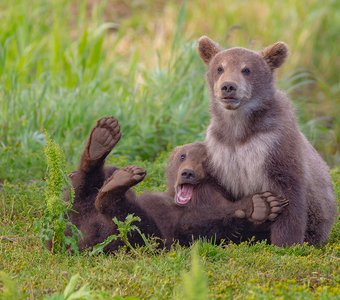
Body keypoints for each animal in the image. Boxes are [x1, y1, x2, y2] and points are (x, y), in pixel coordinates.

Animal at [197, 35, 338, 246]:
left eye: (246, 69)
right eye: (220, 68)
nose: (228, 86)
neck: (239, 130)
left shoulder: (273, 144)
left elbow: (289, 193)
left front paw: (285, 242)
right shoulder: (221, 150)